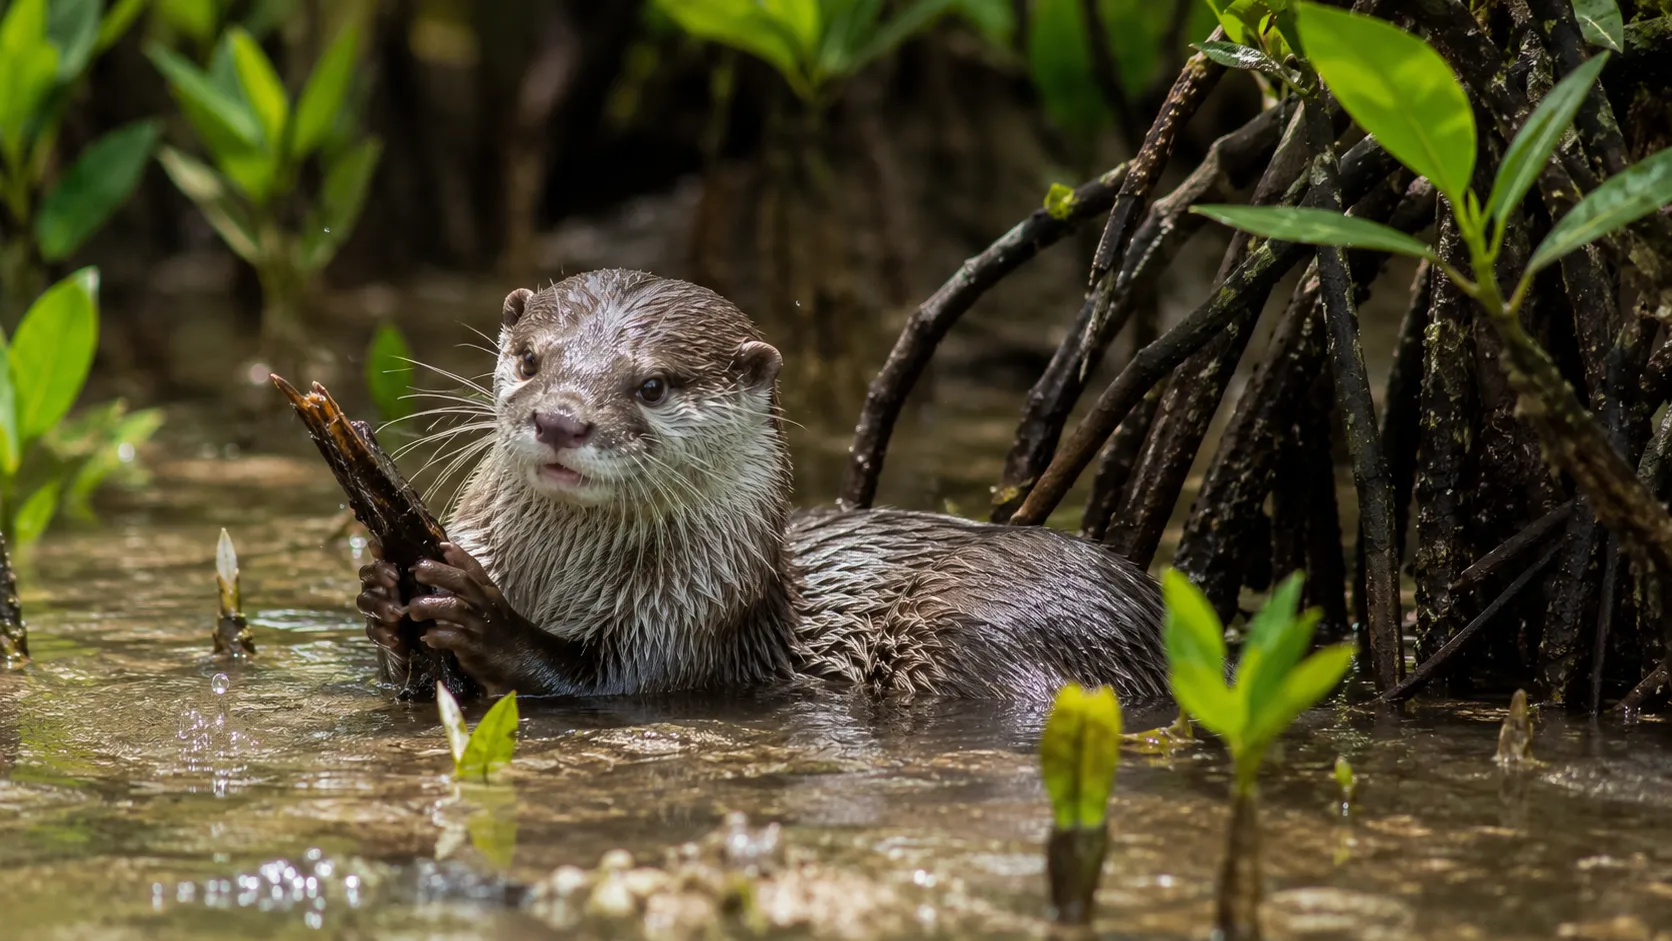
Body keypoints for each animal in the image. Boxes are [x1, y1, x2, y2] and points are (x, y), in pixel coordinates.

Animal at [356, 269, 1167, 703]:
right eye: (530, 360)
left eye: (652, 385)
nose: (559, 419)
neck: (558, 584)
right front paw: (384, 590)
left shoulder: (696, 613)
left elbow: (606, 679)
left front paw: (482, 615)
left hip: (977, 626)